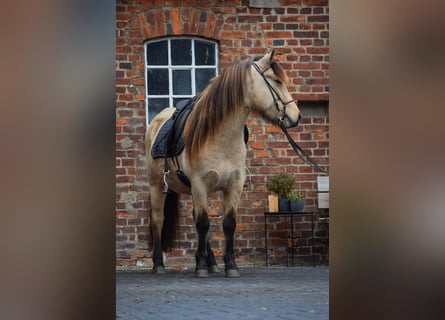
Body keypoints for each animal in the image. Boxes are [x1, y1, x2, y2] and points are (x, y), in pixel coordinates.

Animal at [144, 50, 300, 278]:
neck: (219, 136)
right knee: (158, 220)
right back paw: (159, 264)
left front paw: (229, 265)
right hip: (157, 186)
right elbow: (203, 223)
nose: (297, 116)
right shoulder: (200, 185)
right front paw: (200, 266)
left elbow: (227, 224)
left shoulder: (233, 186)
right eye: (277, 81)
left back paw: (212, 263)